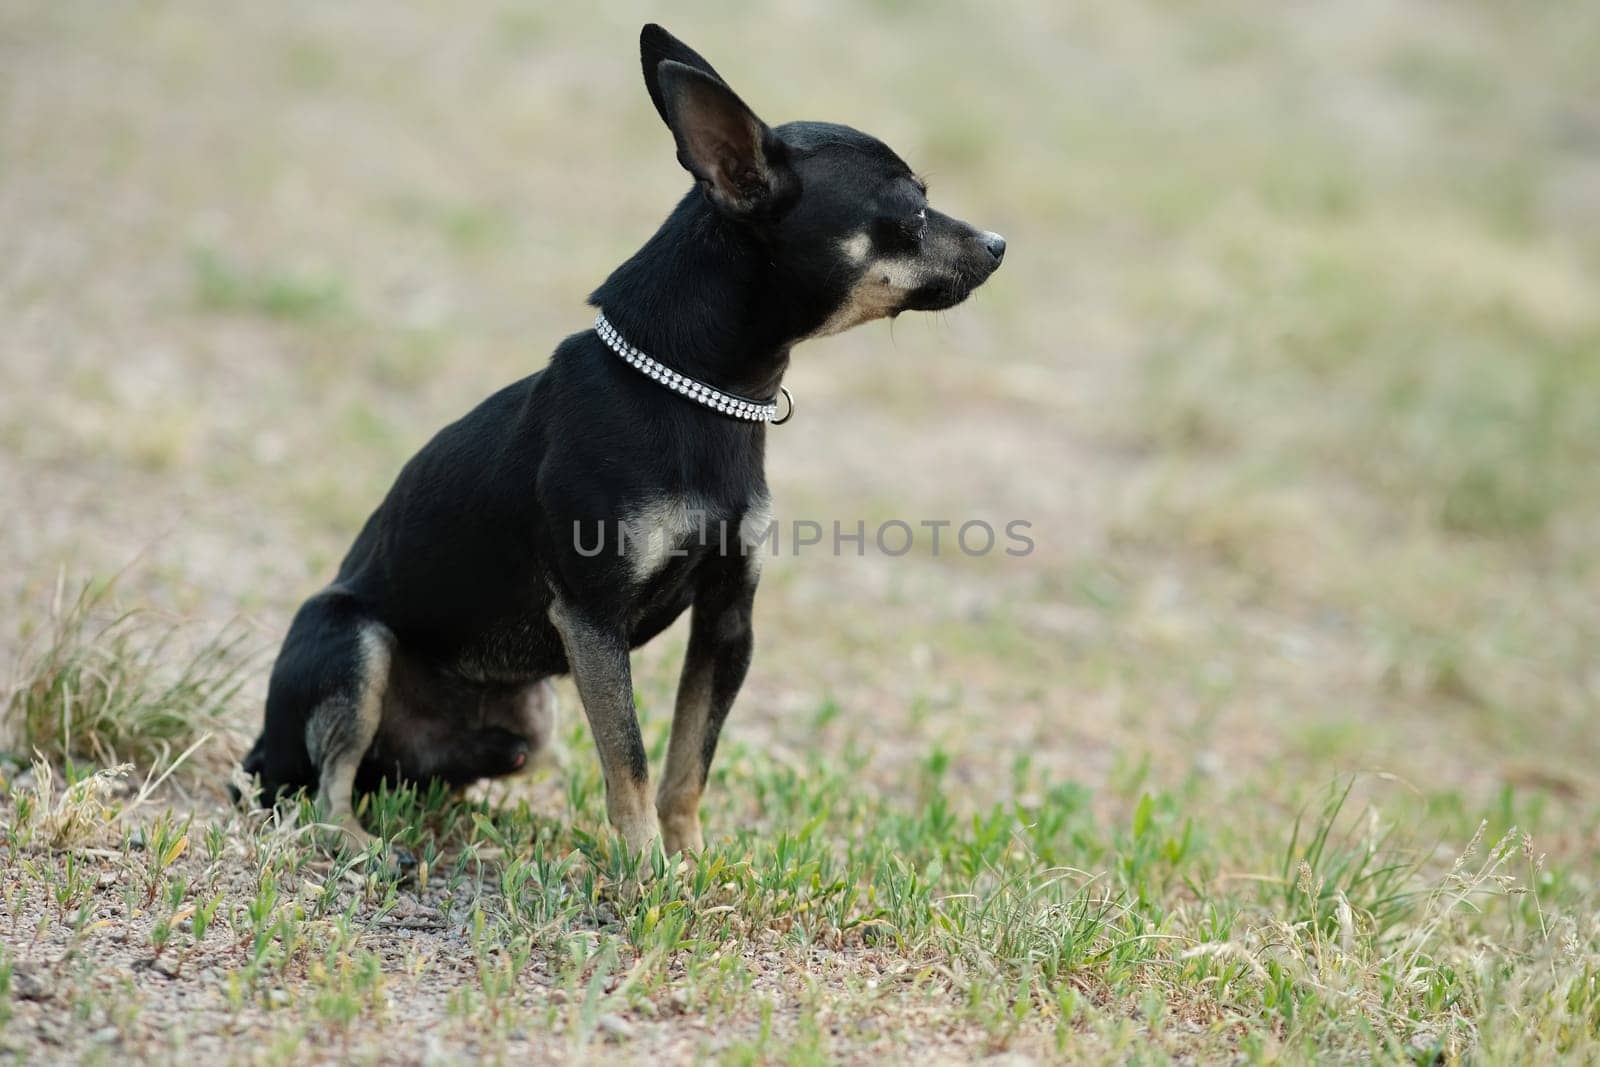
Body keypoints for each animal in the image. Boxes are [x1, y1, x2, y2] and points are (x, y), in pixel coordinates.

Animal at [240, 24, 998, 857]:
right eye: (912, 210)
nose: (1000, 243)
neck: (697, 393)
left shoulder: (727, 619)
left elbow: (687, 760)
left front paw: (690, 859)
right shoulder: (593, 620)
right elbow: (629, 756)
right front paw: (645, 866)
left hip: (527, 724)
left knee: (415, 775)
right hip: (356, 643)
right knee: (328, 781)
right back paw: (359, 841)